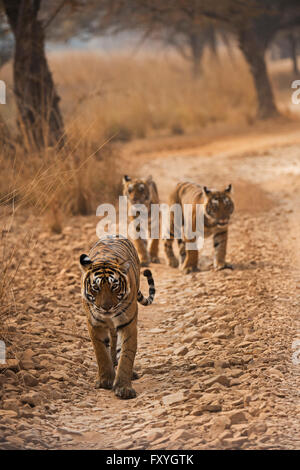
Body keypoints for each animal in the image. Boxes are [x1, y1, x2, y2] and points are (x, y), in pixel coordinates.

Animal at [79, 235, 155, 400]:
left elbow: (126, 355)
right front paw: (105, 380)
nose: (106, 307)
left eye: (114, 286)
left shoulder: (128, 324)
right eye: (95, 288)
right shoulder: (94, 324)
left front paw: (123, 388)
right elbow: (101, 352)